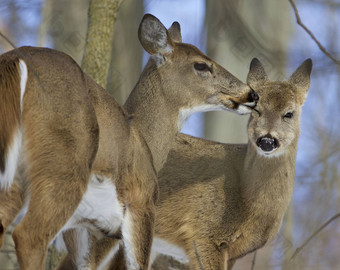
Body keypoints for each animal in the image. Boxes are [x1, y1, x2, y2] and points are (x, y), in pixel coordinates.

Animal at [0, 14, 256, 270]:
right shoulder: (141, 203)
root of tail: (17, 60)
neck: (144, 140)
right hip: (64, 165)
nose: (251, 94)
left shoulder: (81, 226)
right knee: (29, 236)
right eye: (201, 65)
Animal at [53, 56, 310, 268]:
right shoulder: (203, 234)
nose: (266, 139)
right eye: (256, 110)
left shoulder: (234, 253)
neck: (248, 198)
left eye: (289, 113)